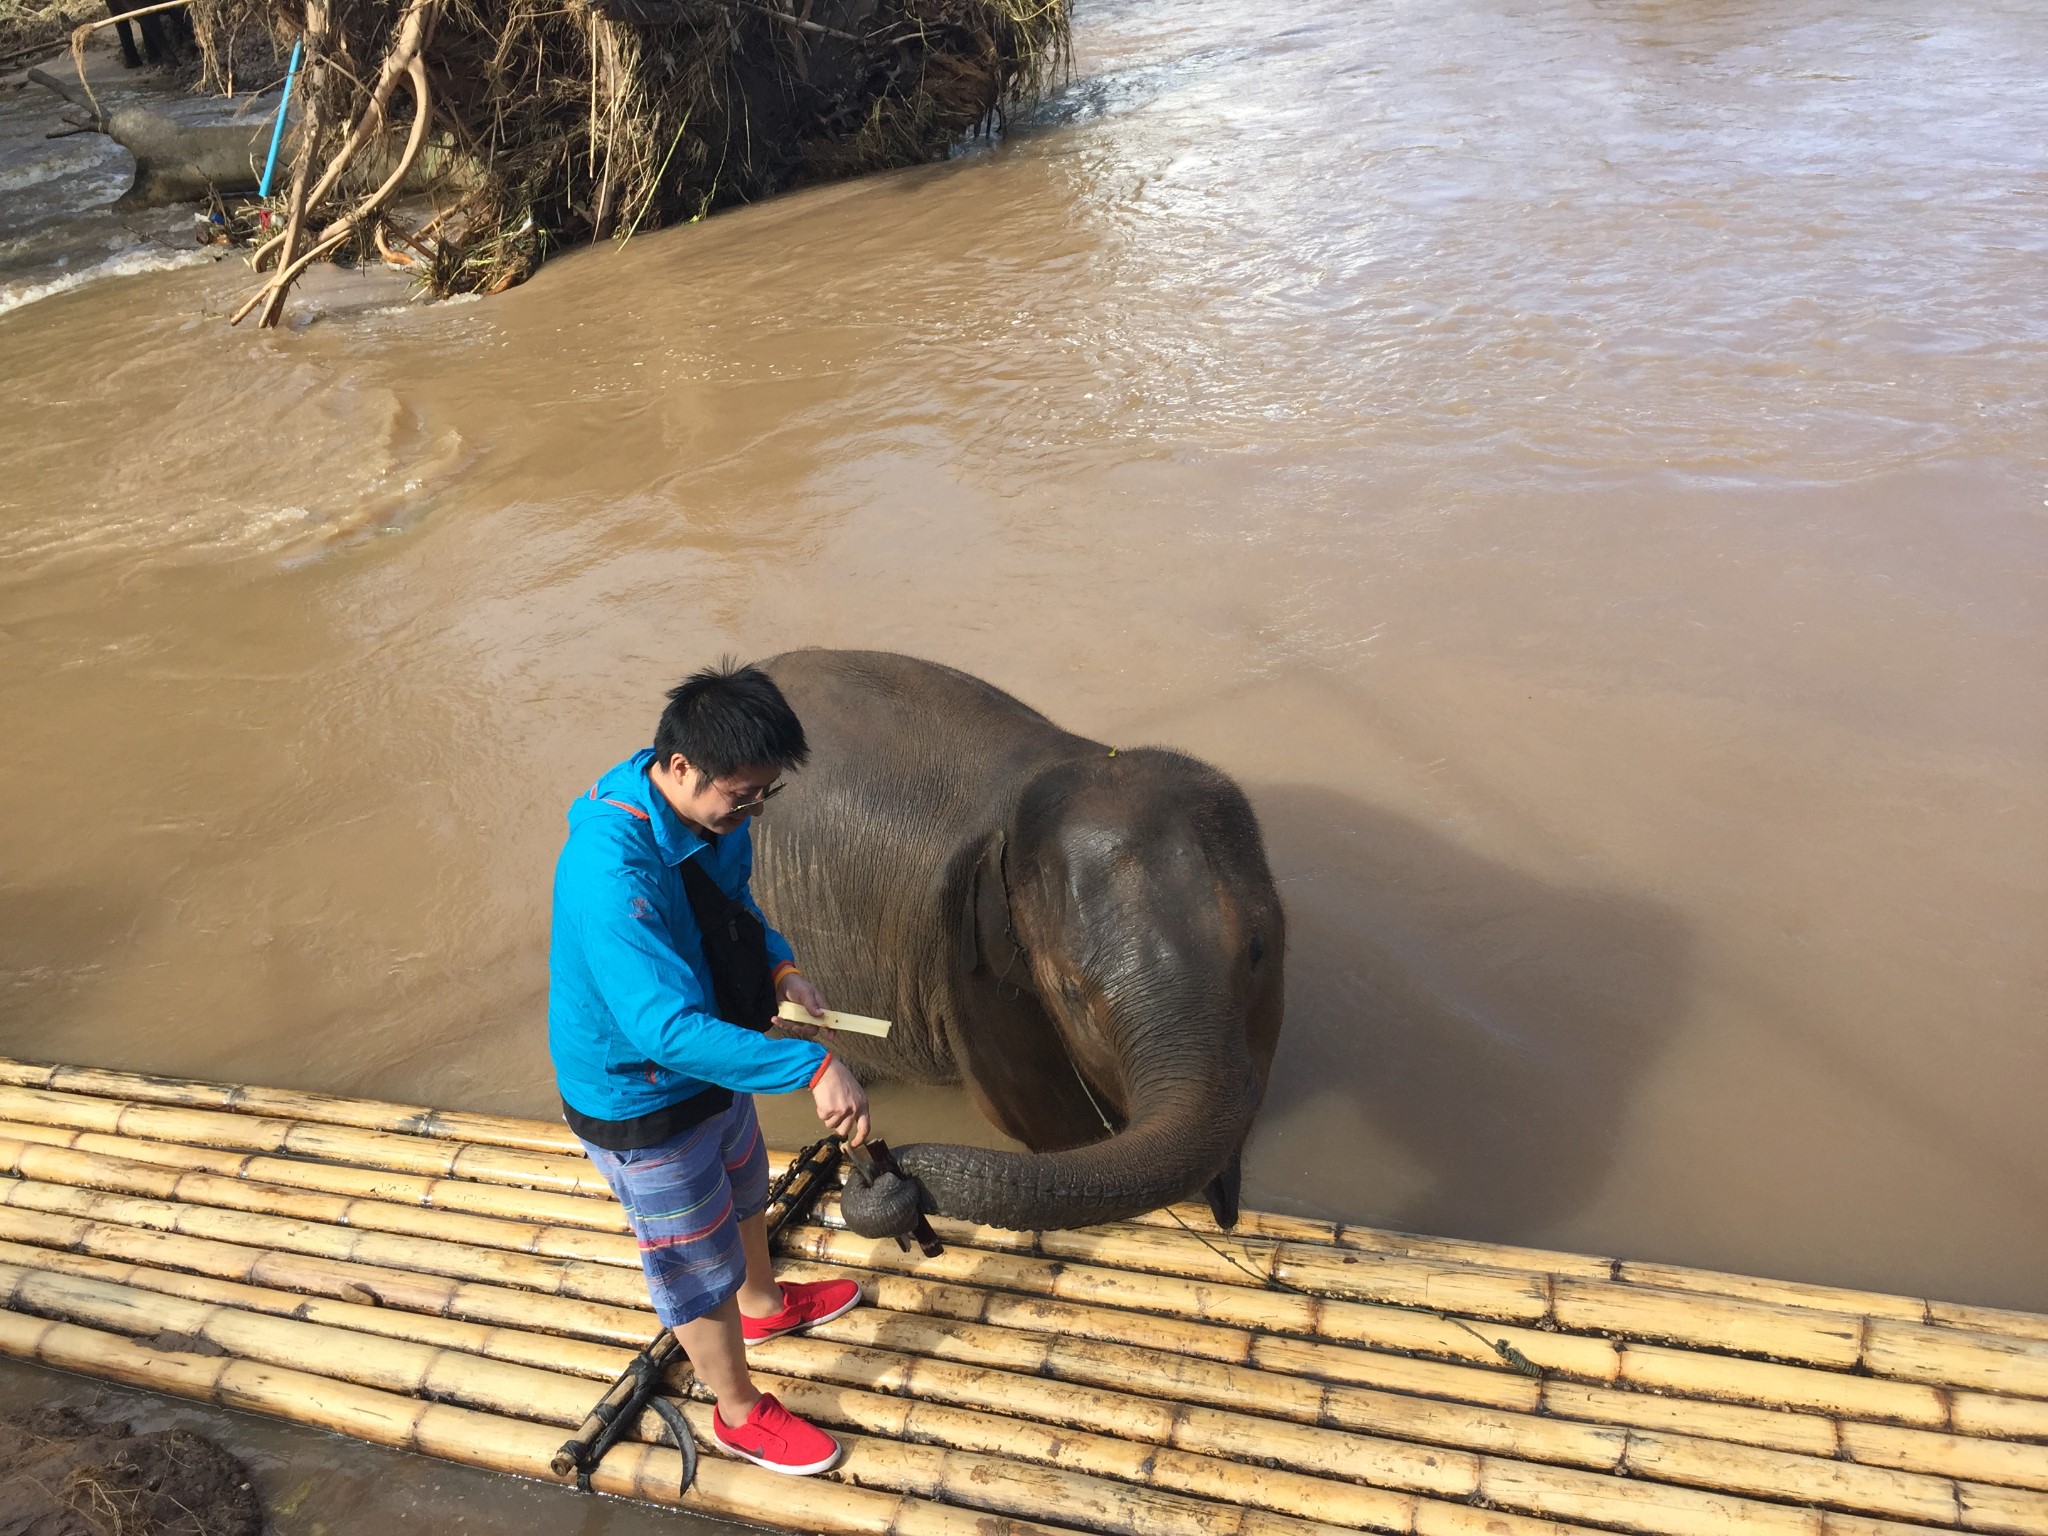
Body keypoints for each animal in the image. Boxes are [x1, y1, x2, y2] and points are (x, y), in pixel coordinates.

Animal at [753, 651, 1286, 1236]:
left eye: (1257, 952)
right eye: (1071, 994)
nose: (877, 1166)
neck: (1052, 765)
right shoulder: (963, 963)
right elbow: (1045, 1125)